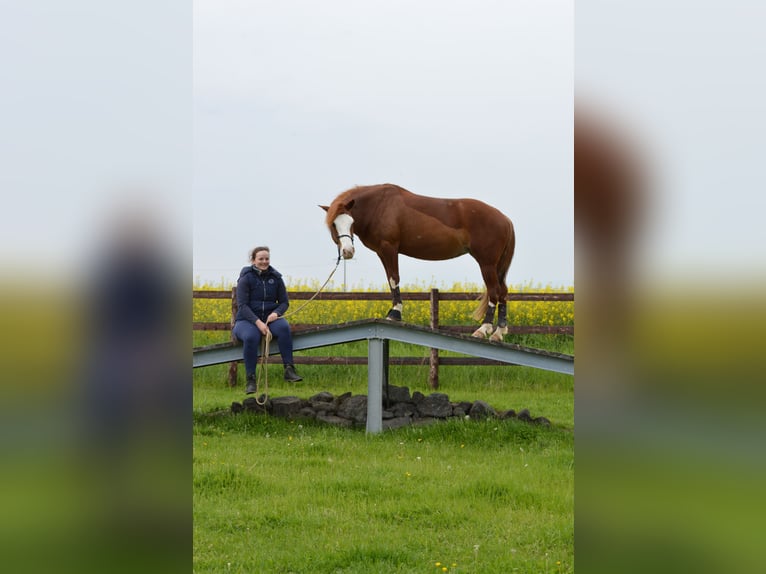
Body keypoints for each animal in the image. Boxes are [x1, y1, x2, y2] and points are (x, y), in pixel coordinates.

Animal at [320, 183, 515, 341]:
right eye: (334, 225)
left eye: (351, 222)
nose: (348, 252)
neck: (379, 206)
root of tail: (505, 219)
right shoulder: (382, 252)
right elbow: (391, 280)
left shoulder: (389, 248)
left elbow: (394, 278)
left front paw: (395, 313)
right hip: (497, 267)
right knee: (503, 292)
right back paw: (499, 332)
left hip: (487, 264)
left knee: (494, 291)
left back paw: (483, 329)